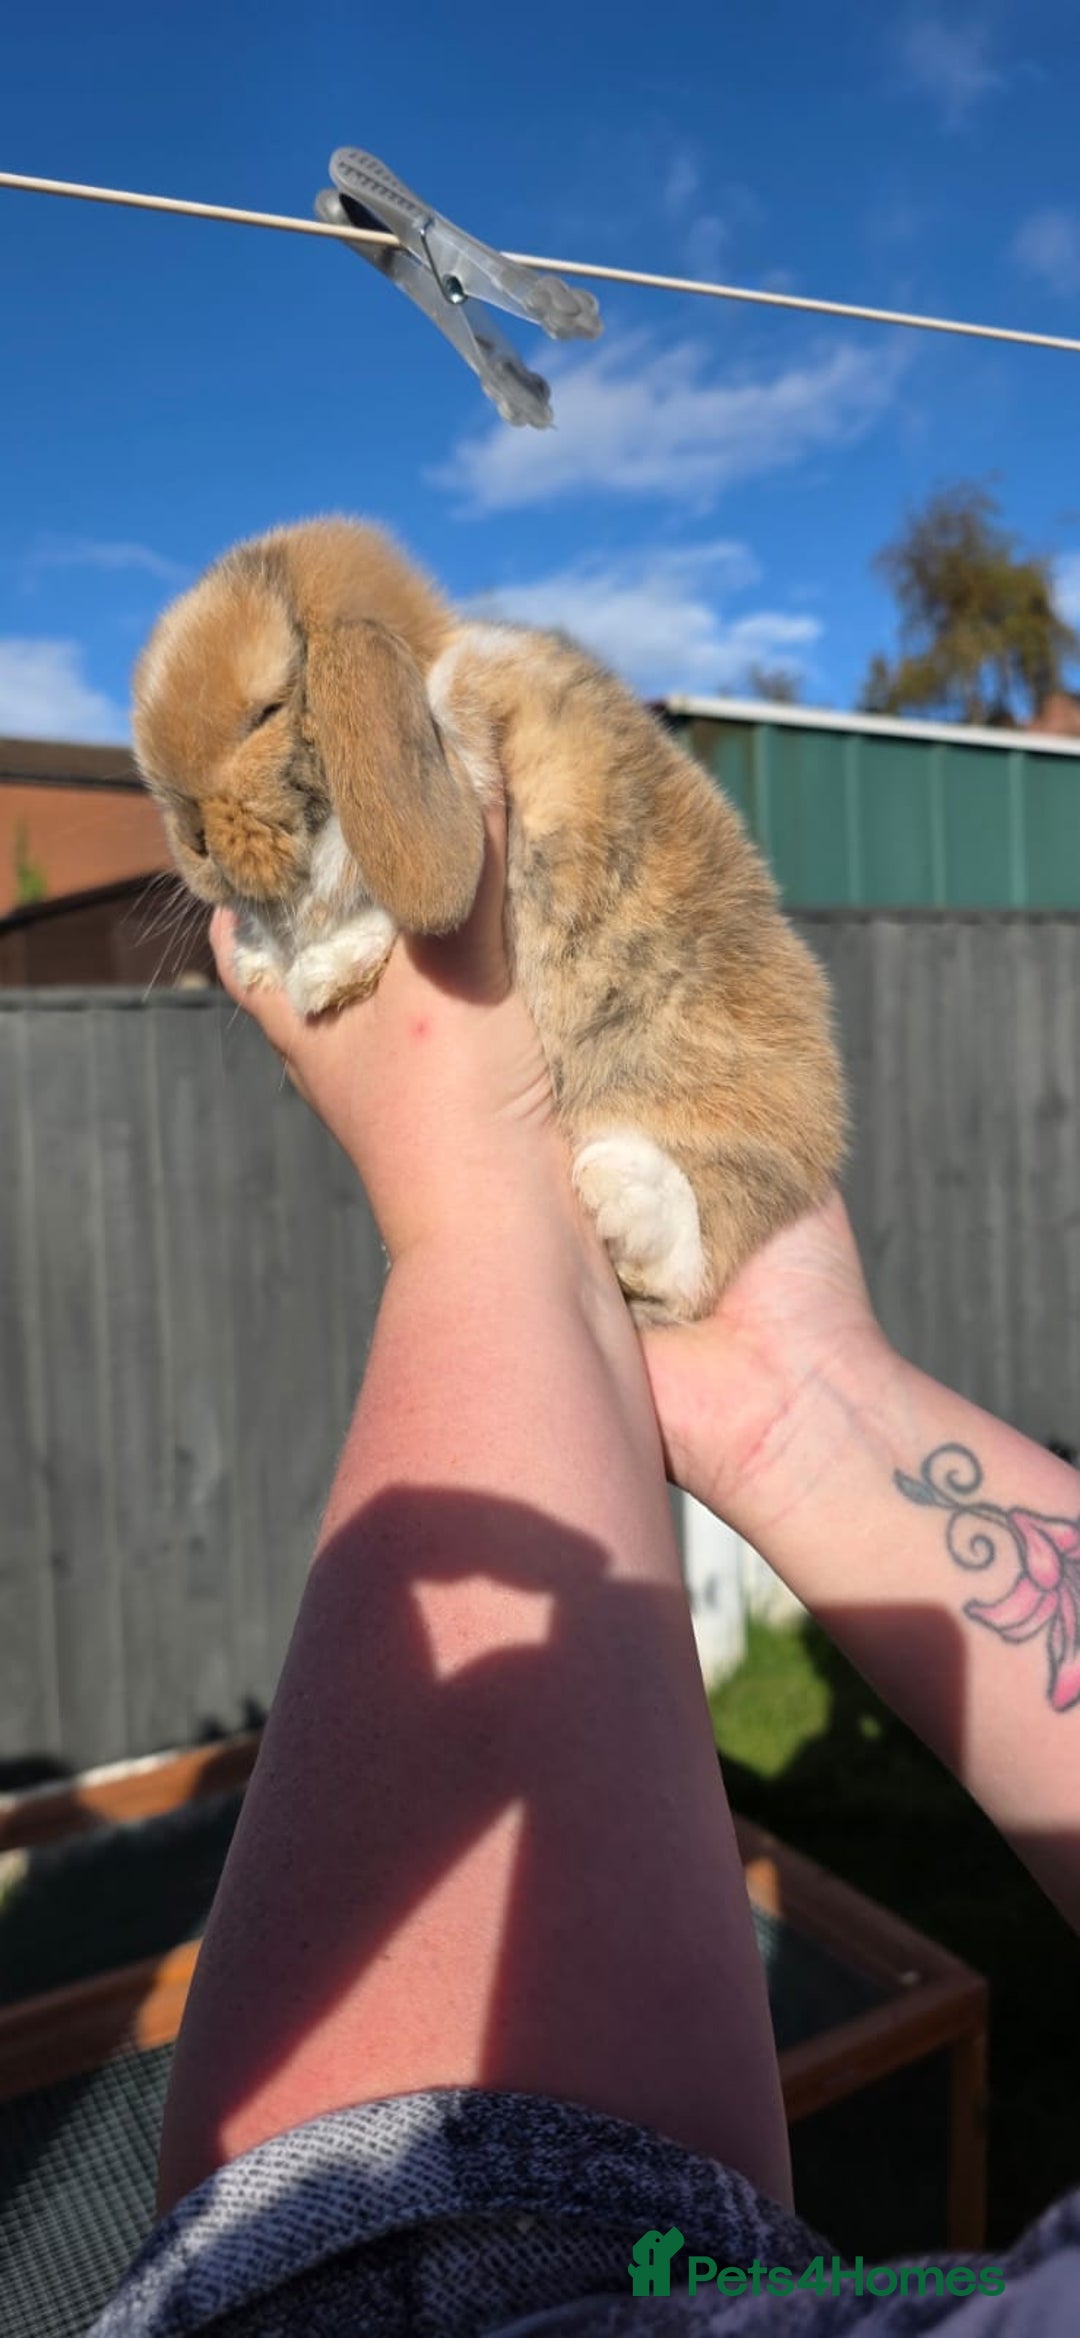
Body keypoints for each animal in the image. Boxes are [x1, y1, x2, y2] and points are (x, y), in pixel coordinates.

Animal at [132, 515, 847, 1325]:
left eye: (267, 711)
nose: (191, 837)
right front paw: (262, 953)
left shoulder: (476, 759)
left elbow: (370, 899)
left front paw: (320, 972)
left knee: (698, 1252)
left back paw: (622, 1194)